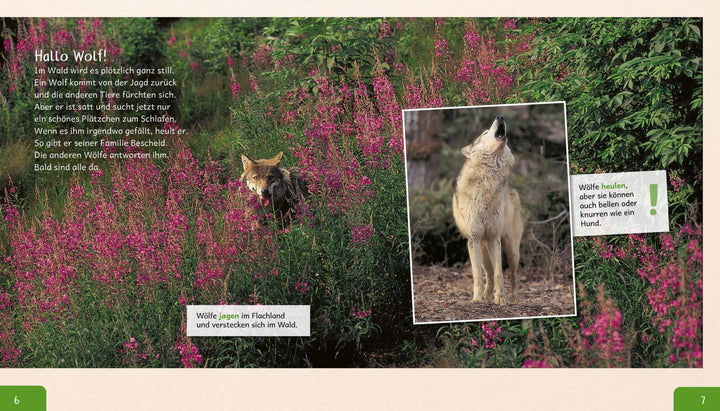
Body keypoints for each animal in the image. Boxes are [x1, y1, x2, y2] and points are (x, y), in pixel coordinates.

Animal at [452, 116, 523, 306]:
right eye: (484, 133)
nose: (500, 117)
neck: (488, 183)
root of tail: (513, 189)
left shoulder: (494, 238)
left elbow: (500, 274)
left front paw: (501, 299)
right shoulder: (474, 239)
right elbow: (478, 275)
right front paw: (477, 299)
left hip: (512, 248)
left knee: (513, 274)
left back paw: (514, 298)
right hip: (482, 251)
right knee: (488, 274)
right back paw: (485, 296)